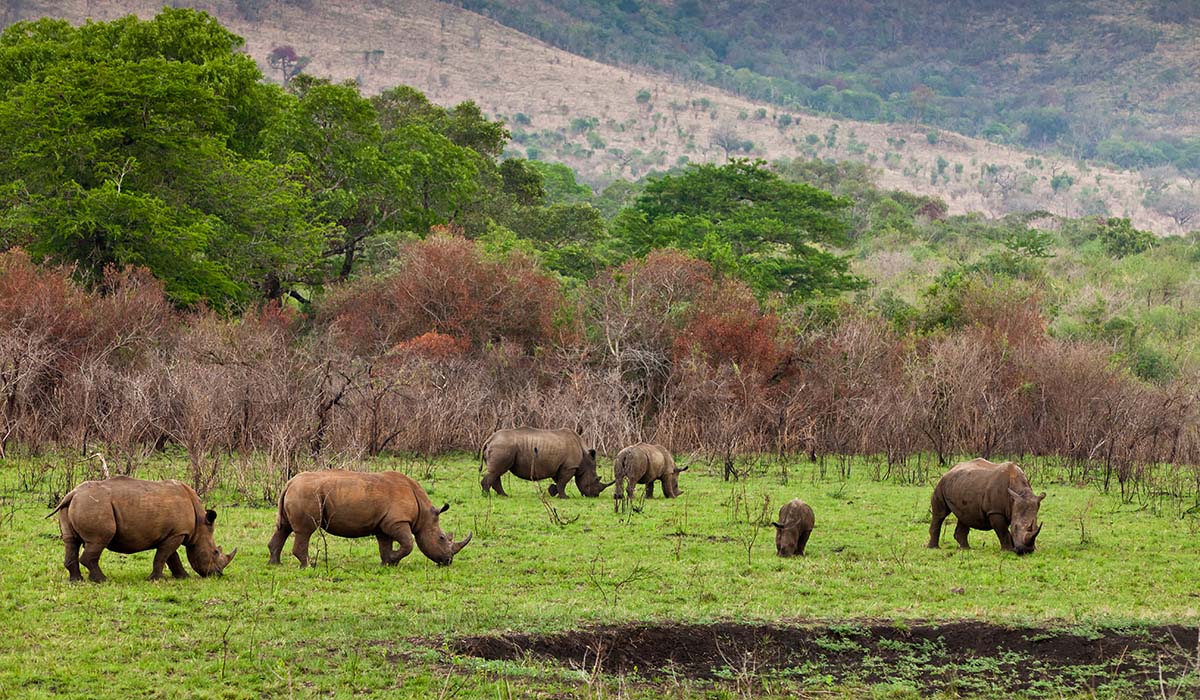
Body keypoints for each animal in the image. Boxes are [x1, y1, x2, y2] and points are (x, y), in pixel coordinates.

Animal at [49, 475, 236, 585]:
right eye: (215, 552)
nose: (218, 574)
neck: (200, 524)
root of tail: (72, 494)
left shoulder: (172, 534)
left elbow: (171, 557)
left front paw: (183, 577)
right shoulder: (177, 533)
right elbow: (163, 557)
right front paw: (156, 579)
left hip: (80, 503)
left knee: (71, 541)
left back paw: (76, 581)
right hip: (94, 505)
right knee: (98, 541)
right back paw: (103, 580)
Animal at [266, 468, 468, 566]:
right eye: (442, 538)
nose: (448, 561)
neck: (424, 514)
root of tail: (290, 483)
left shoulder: (384, 523)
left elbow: (385, 544)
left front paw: (388, 563)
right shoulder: (398, 521)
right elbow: (408, 544)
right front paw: (394, 560)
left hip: (298, 492)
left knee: (283, 527)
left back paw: (275, 564)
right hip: (306, 493)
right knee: (305, 531)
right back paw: (309, 565)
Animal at [477, 427, 609, 499]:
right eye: (596, 479)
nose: (595, 495)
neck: (585, 458)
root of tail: (490, 439)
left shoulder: (561, 467)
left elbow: (559, 482)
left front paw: (552, 491)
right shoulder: (570, 467)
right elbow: (563, 482)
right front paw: (565, 497)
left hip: (501, 446)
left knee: (496, 472)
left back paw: (504, 495)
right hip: (502, 446)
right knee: (497, 471)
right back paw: (487, 495)